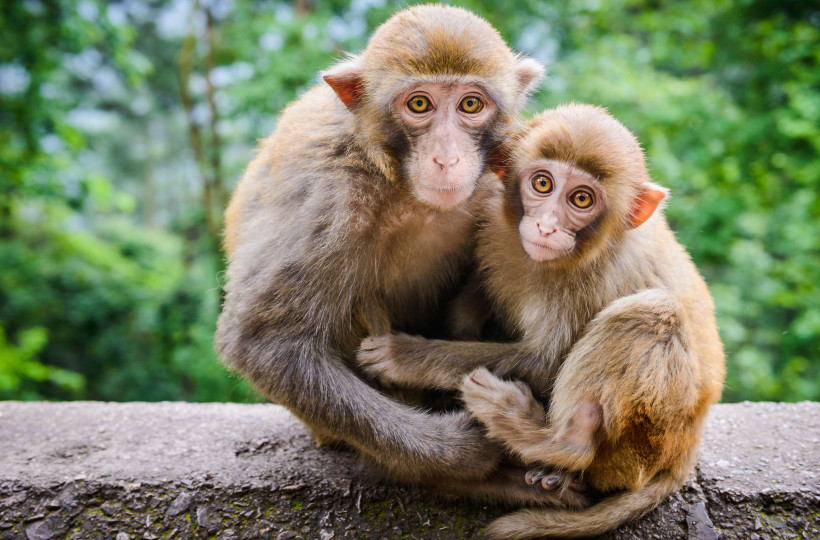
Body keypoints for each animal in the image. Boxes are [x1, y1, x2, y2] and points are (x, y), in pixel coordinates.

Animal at [213, 5, 584, 505]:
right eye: (419, 105)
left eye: (471, 105)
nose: (446, 158)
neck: (406, 190)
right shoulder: (330, 199)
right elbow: (265, 342)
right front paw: (461, 453)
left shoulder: (500, 180)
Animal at [357, 103, 726, 538]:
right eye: (543, 184)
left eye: (581, 198)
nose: (546, 226)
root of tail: (688, 449)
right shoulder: (493, 228)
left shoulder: (595, 277)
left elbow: (545, 362)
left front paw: (405, 356)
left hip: (644, 445)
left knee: (654, 312)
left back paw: (559, 441)